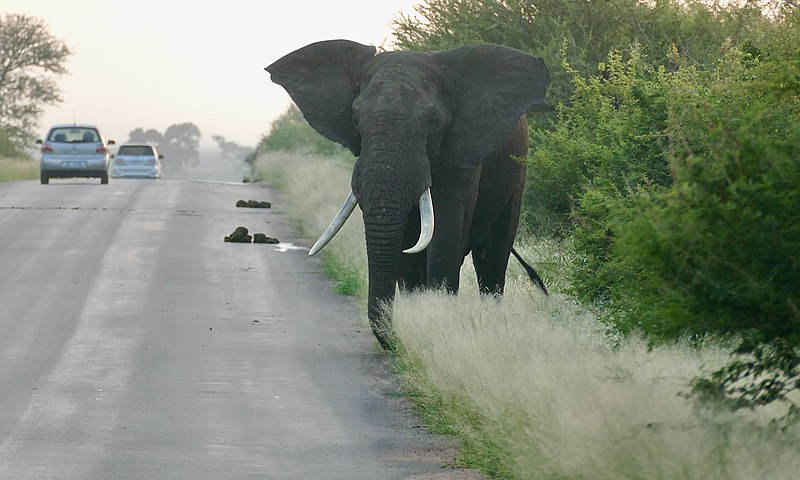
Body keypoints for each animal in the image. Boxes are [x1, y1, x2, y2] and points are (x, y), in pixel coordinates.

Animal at [268, 39, 552, 348]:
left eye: (433, 121)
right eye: (355, 119)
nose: (394, 339)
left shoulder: (462, 155)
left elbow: (444, 240)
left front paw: (437, 323)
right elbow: (404, 250)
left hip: (515, 175)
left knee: (492, 259)